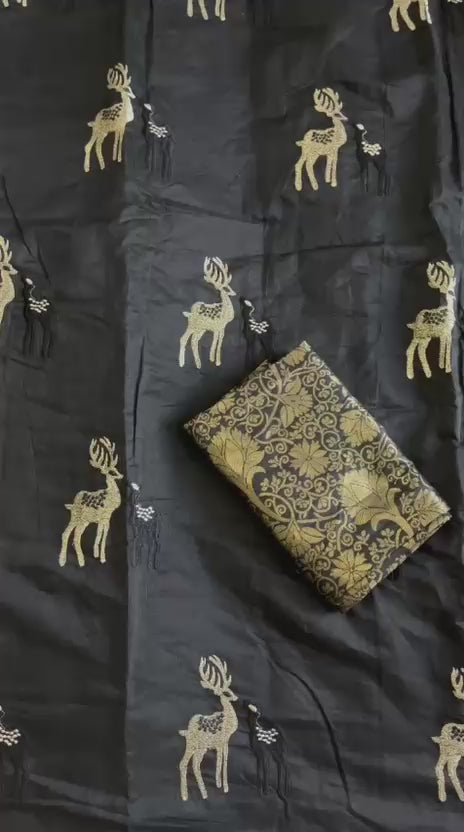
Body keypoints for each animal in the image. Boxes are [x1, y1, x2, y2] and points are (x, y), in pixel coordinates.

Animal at [59, 437, 123, 568]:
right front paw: (102, 558)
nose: (122, 475)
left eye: (116, 469)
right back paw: (80, 561)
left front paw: (96, 554)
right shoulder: (105, 517)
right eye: (112, 472)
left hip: (81, 520)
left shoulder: (100, 520)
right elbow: (104, 536)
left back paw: (63, 561)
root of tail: (73, 503)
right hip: (79, 518)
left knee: (68, 534)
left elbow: (98, 534)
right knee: (74, 536)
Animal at [179, 655, 238, 802]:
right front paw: (220, 785)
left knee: (192, 764)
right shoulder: (219, 742)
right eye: (225, 692)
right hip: (193, 745)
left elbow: (224, 760)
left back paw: (197, 794)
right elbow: (220, 761)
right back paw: (191, 795)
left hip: (200, 748)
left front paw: (223, 785)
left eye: (230, 690)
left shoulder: (225, 742)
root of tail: (186, 731)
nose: (235, 697)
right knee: (187, 764)